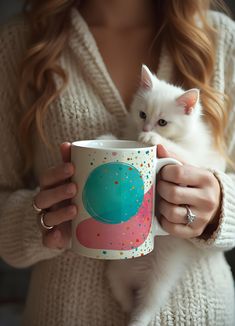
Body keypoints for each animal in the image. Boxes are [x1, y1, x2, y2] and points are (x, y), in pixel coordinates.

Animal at [103, 65, 226, 324]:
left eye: (162, 122)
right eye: (142, 115)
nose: (145, 129)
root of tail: (138, 275)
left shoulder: (194, 161)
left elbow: (178, 151)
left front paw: (153, 139)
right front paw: (105, 139)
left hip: (161, 278)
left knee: (148, 305)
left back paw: (136, 318)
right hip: (116, 271)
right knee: (123, 293)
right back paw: (128, 309)